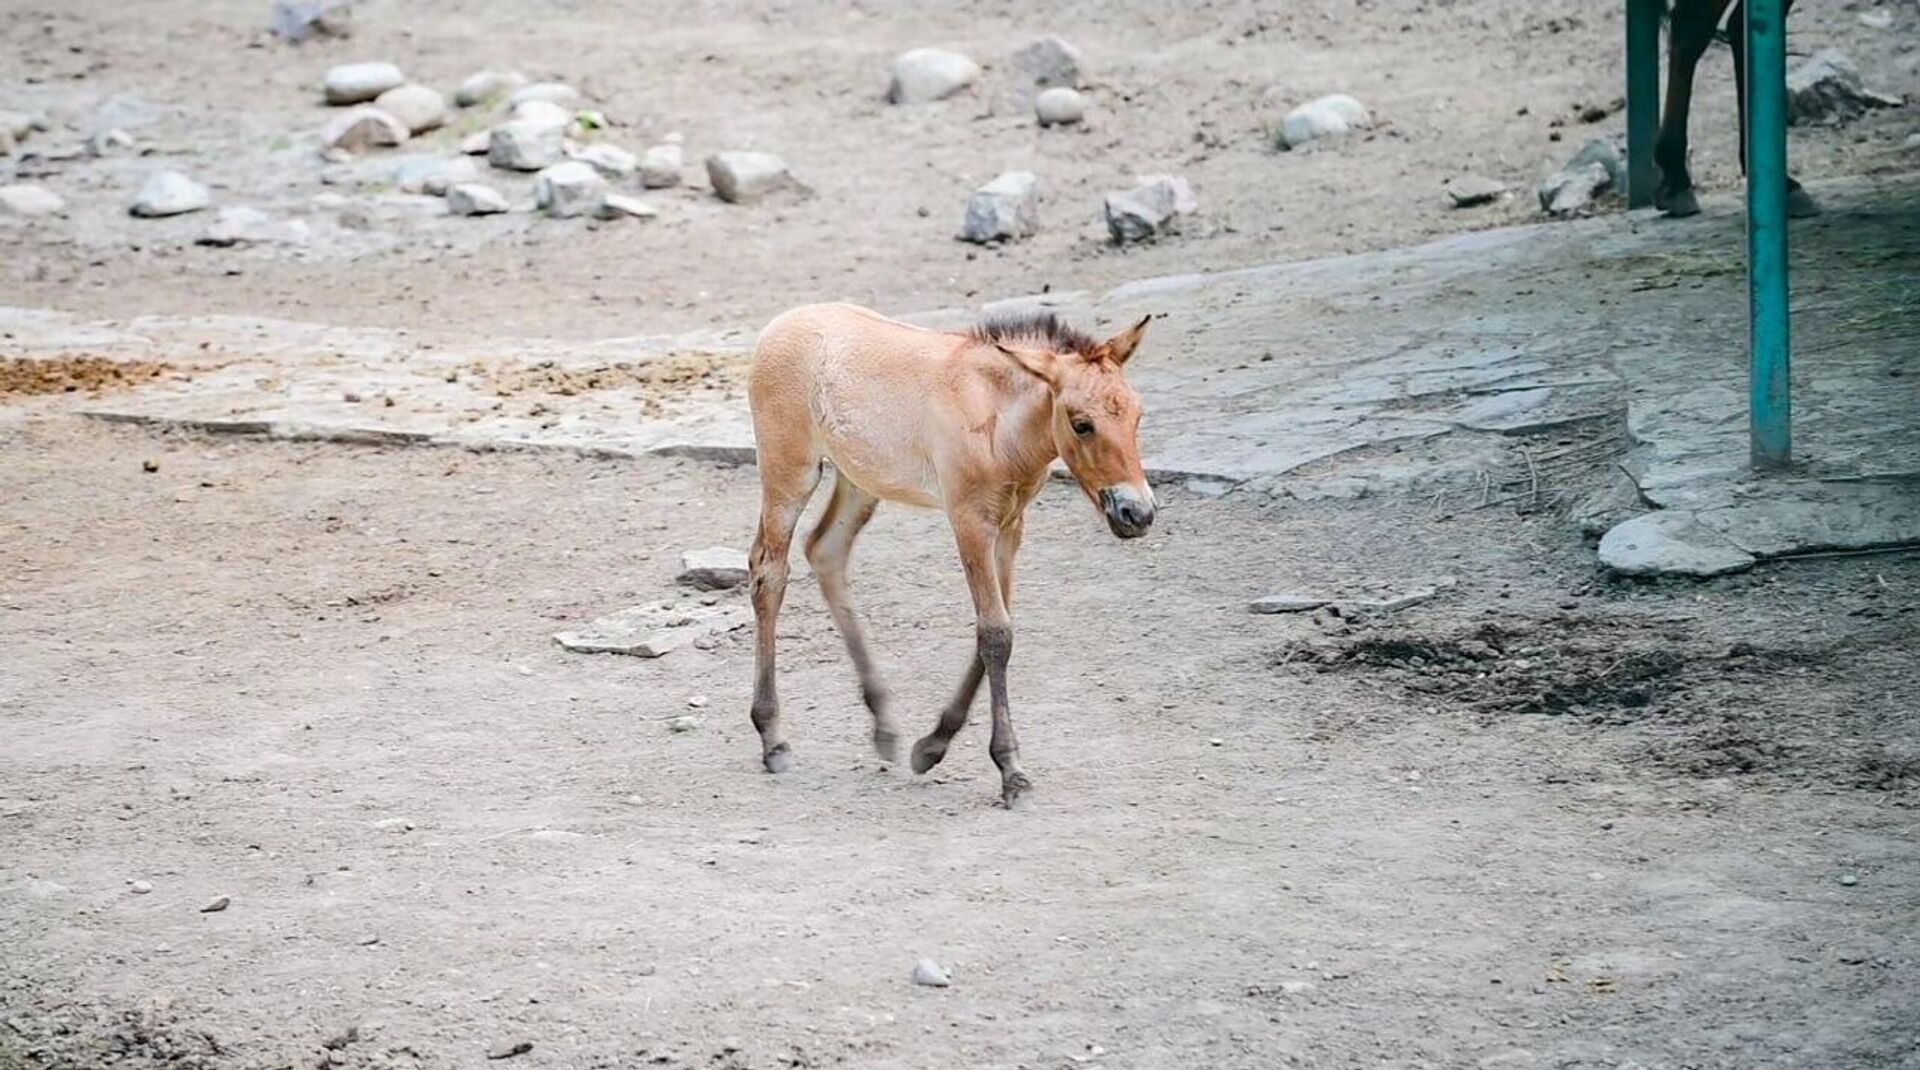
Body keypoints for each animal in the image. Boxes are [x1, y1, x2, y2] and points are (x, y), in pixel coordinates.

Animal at [743, 303, 1156, 809]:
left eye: (1136, 416)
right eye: (1082, 423)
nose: (1138, 513)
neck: (995, 413)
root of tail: (781, 324)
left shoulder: (1010, 526)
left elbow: (998, 628)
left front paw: (931, 746)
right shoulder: (969, 522)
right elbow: (996, 633)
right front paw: (1011, 770)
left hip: (859, 481)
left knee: (825, 552)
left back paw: (884, 726)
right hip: (790, 473)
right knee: (769, 572)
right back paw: (773, 738)